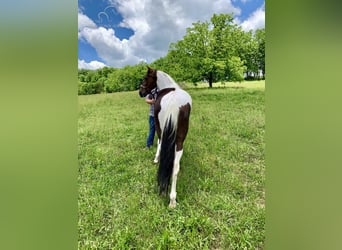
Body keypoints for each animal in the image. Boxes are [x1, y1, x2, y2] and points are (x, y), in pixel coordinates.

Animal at [139, 67, 192, 208]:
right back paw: (172, 200)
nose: (140, 92)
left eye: (145, 78)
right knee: (175, 167)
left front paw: (156, 159)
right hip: (180, 140)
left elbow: (159, 143)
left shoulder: (159, 129)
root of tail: (174, 103)